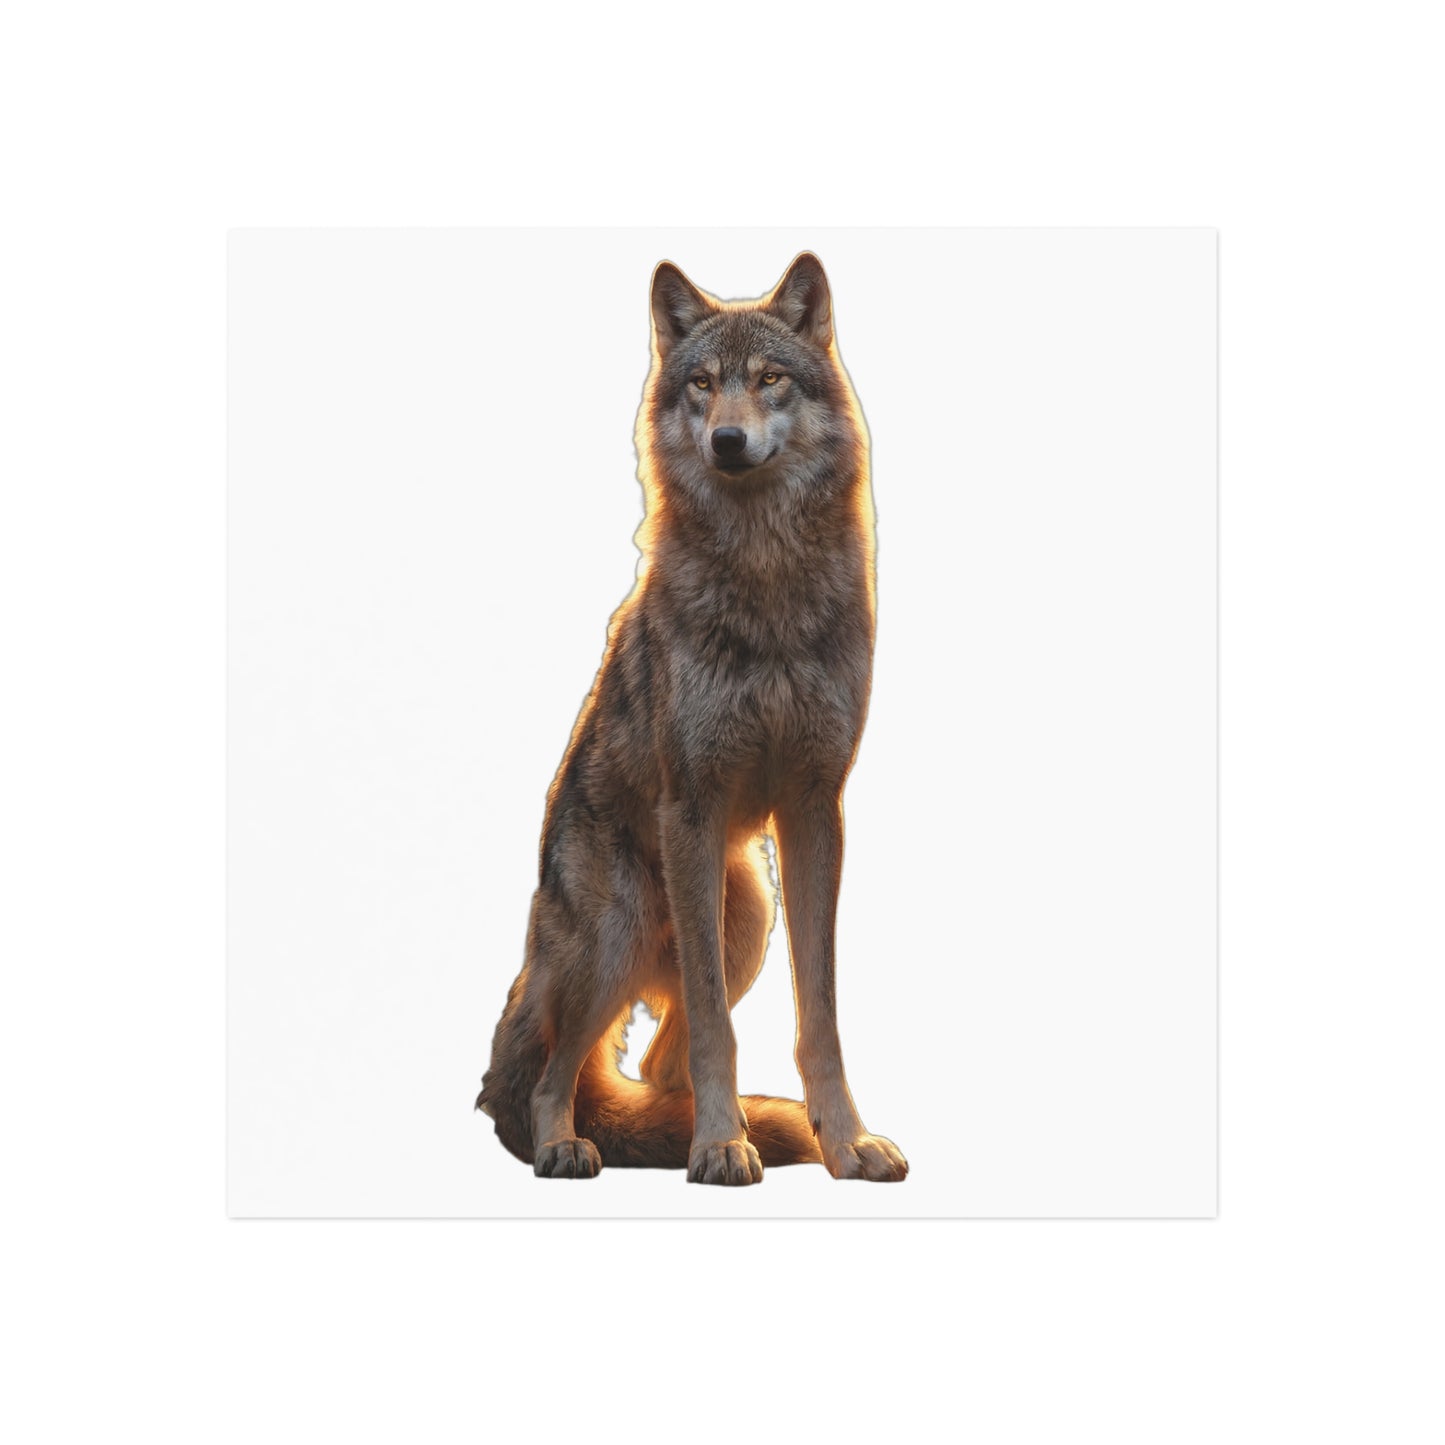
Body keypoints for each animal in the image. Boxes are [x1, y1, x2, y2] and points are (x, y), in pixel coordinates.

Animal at [476, 252, 906, 1185]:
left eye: (770, 379)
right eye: (702, 384)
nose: (727, 442)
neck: (766, 576)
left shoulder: (815, 806)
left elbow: (818, 1016)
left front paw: (844, 1142)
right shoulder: (694, 806)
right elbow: (715, 1025)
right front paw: (717, 1146)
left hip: (745, 915)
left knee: (653, 1060)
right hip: (619, 932)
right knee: (553, 1070)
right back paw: (570, 1144)